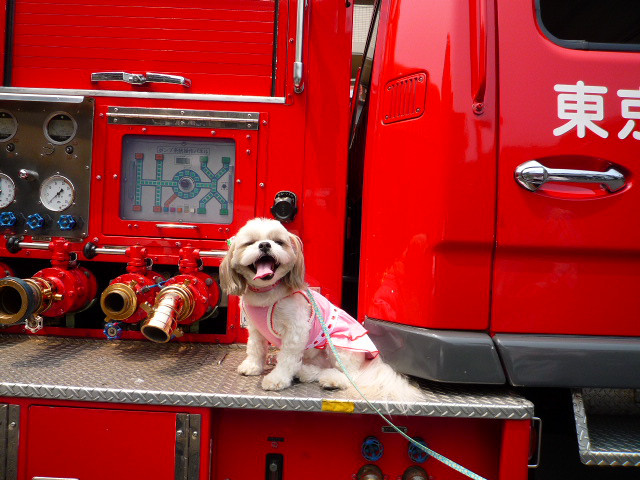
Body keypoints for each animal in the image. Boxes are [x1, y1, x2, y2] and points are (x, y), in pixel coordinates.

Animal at [218, 218, 422, 402]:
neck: (267, 293)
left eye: (278, 242)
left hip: (337, 345)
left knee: (350, 376)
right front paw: (252, 366)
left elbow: (287, 358)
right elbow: (255, 348)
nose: (265, 245)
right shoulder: (255, 329)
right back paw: (306, 371)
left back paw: (329, 379)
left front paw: (277, 379)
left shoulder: (296, 330)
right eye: (250, 243)